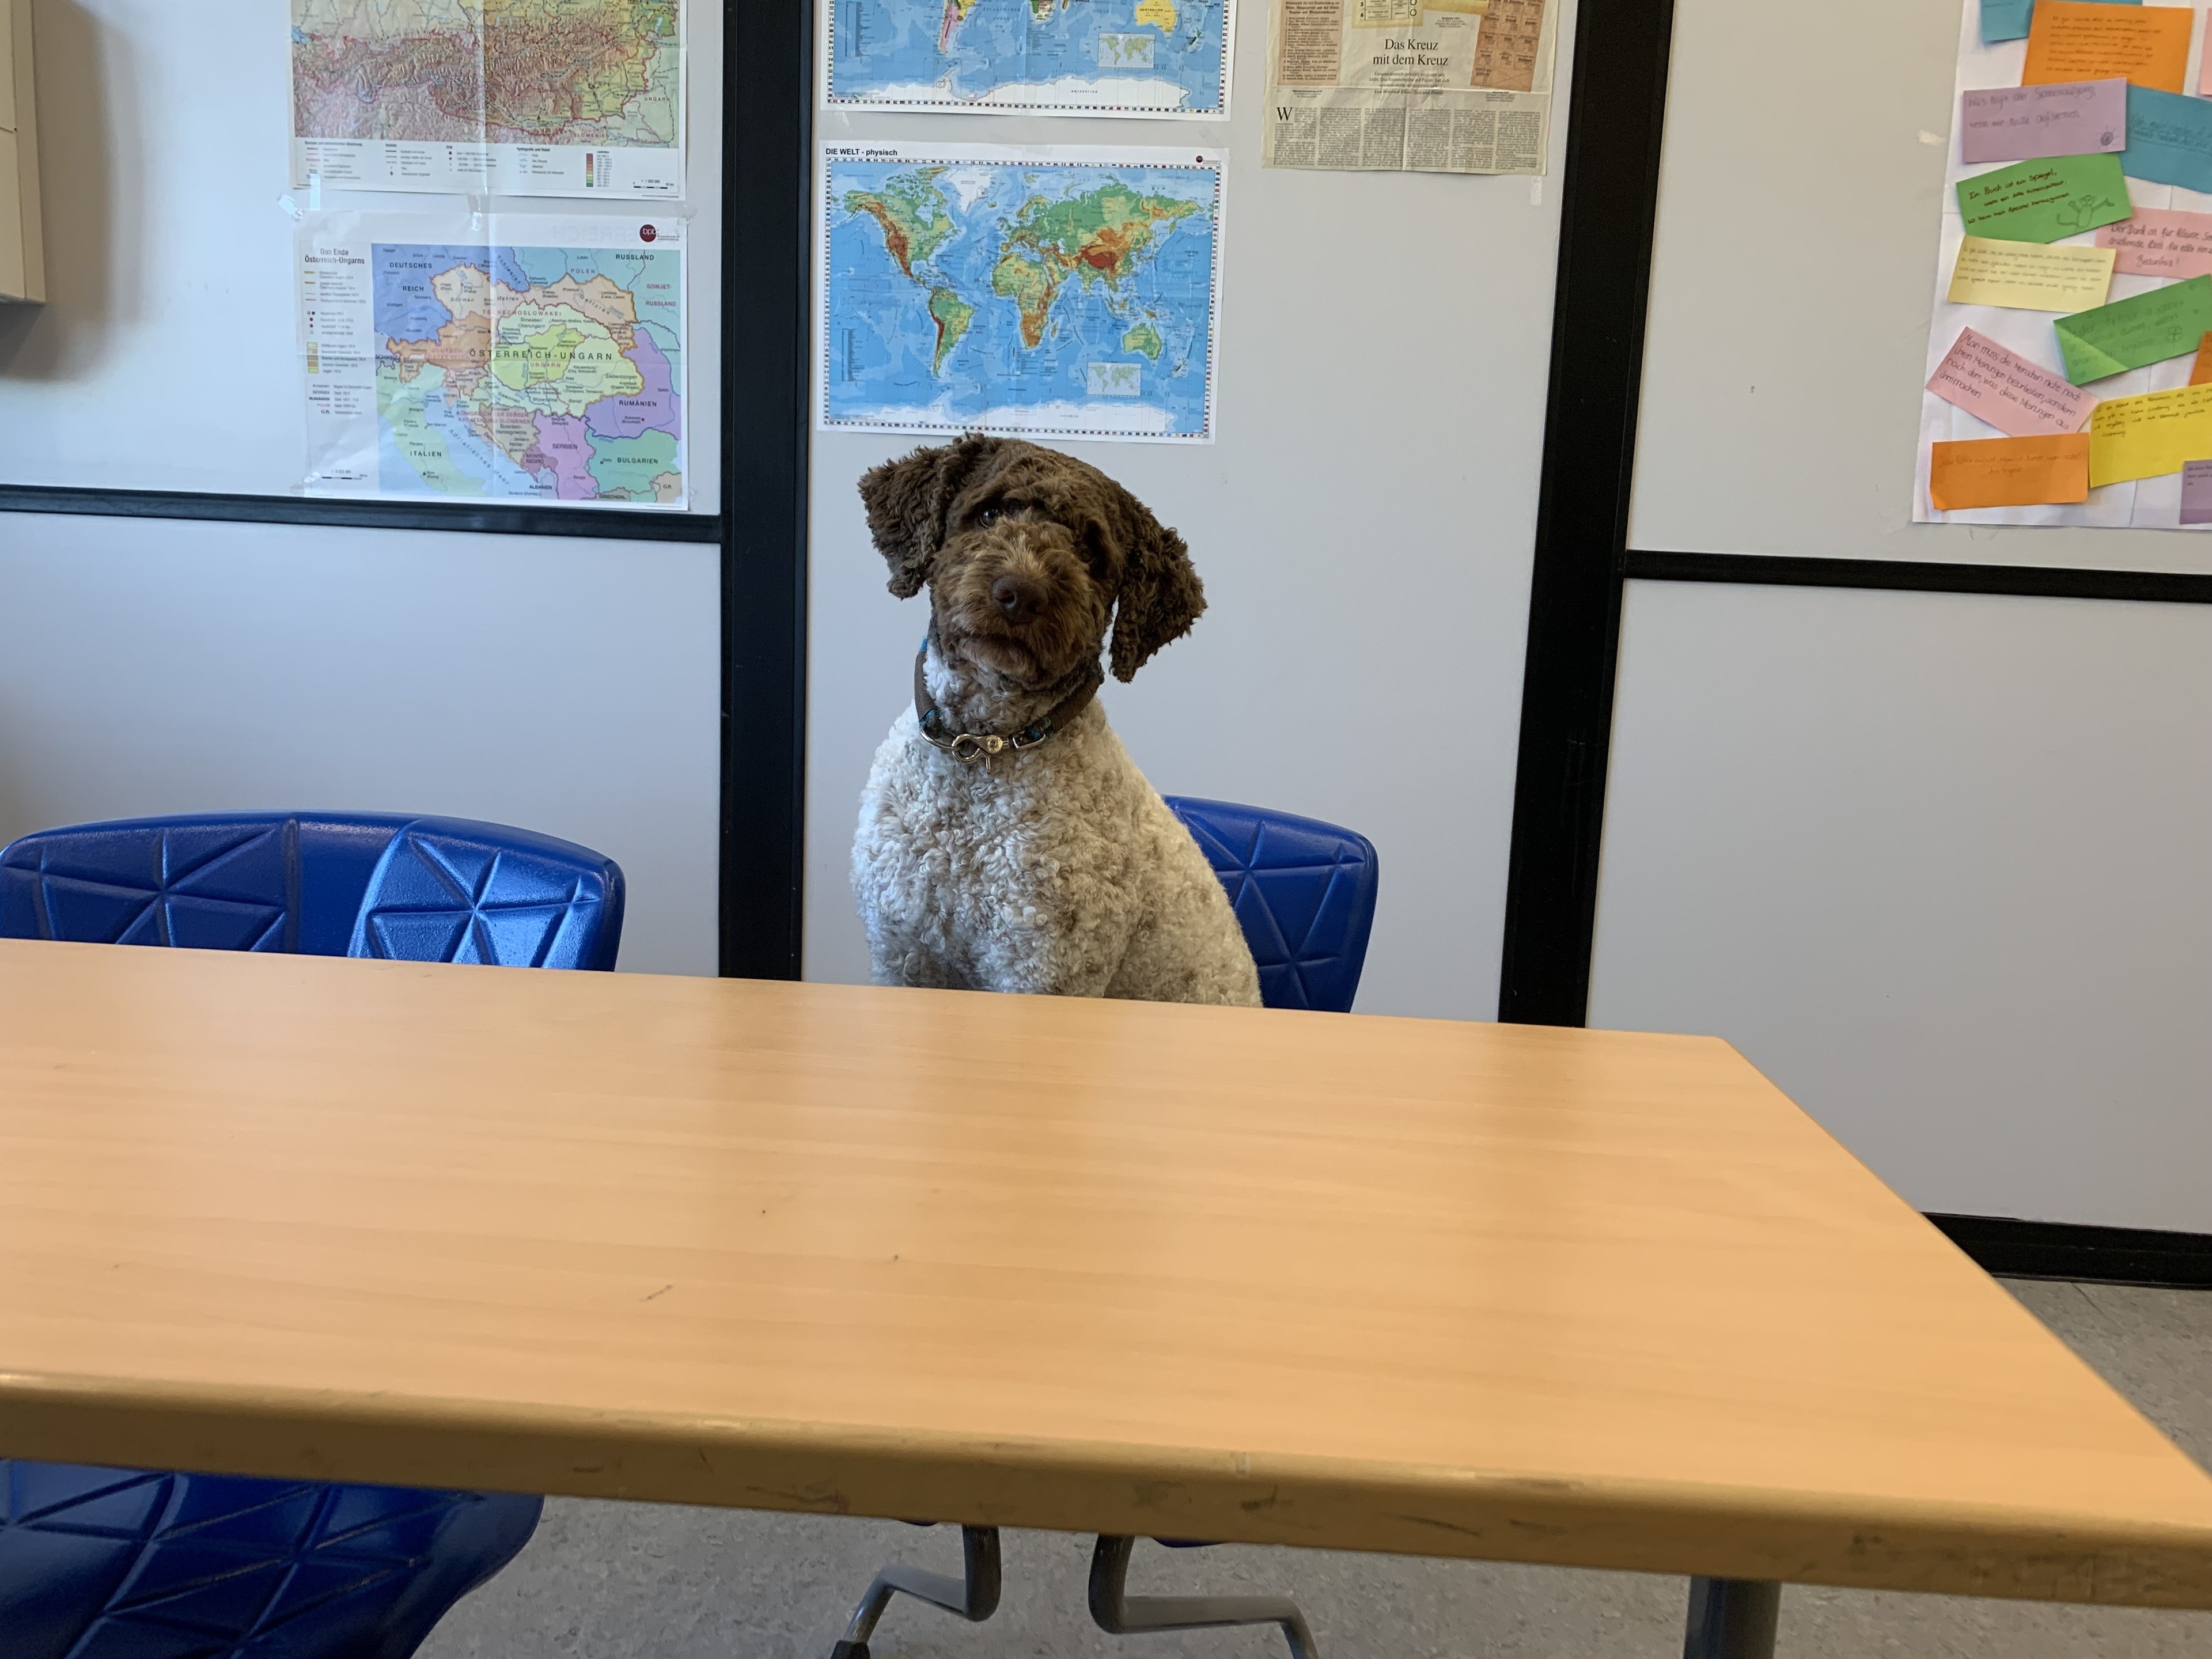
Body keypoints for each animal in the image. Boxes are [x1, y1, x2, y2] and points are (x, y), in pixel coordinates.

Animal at [850, 435, 1262, 1006]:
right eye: (990, 512)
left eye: (1091, 550)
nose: (1020, 592)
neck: (981, 749)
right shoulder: (901, 952)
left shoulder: (1043, 971)